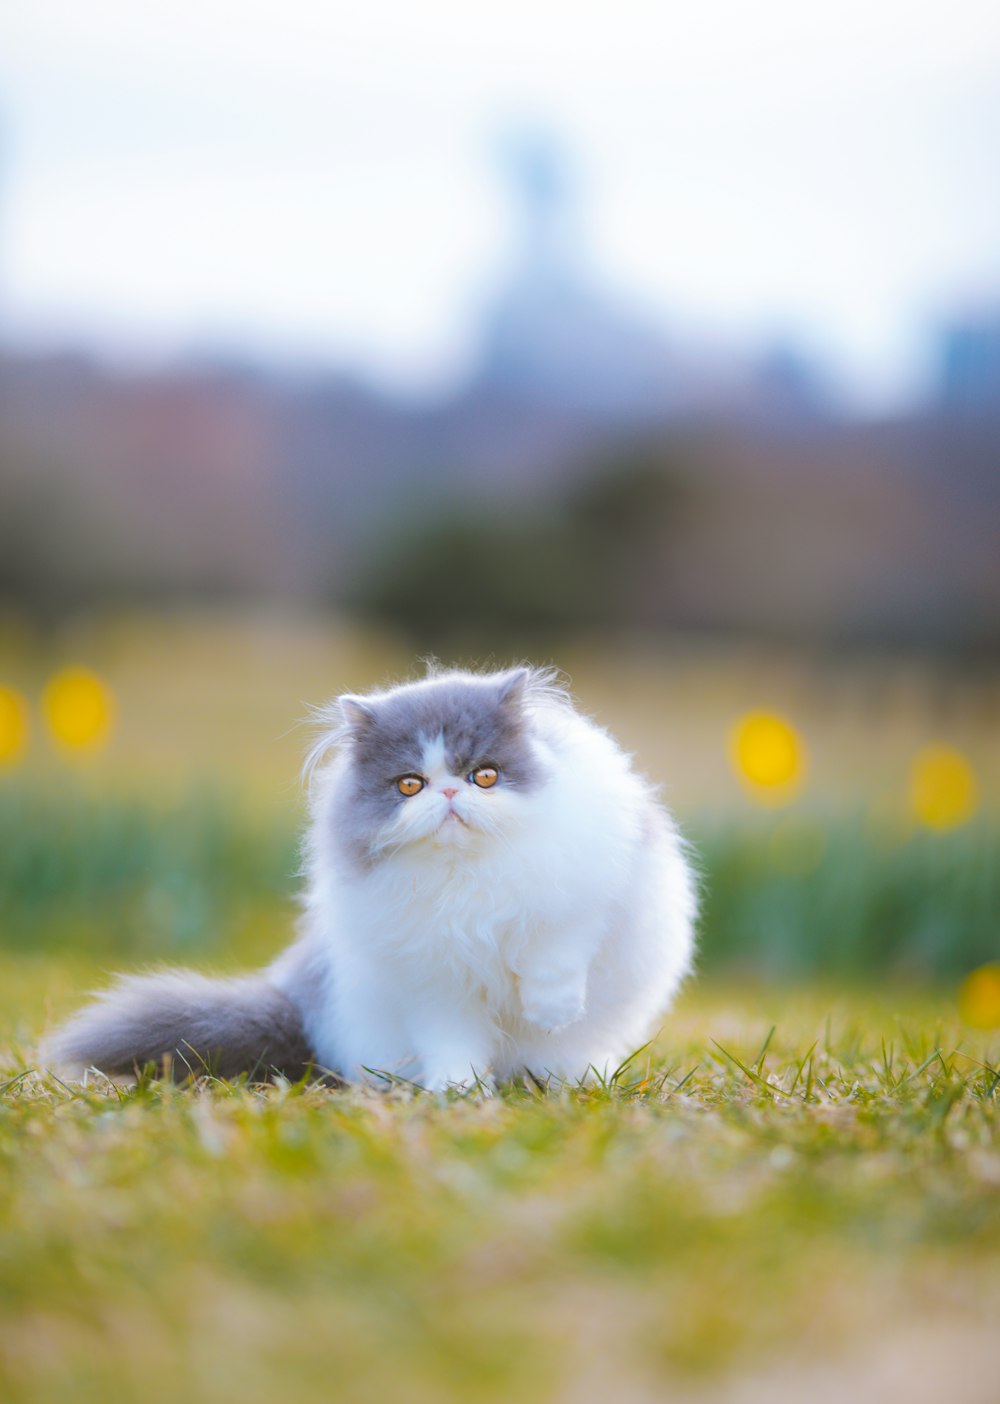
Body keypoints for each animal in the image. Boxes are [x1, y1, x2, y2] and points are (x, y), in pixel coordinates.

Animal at [44, 665, 696, 1083]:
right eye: (410, 784)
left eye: (484, 776)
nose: (450, 793)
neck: (464, 880)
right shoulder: (434, 981)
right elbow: (452, 1042)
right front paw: (459, 1093)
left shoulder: (581, 897)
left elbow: (554, 954)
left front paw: (551, 1012)